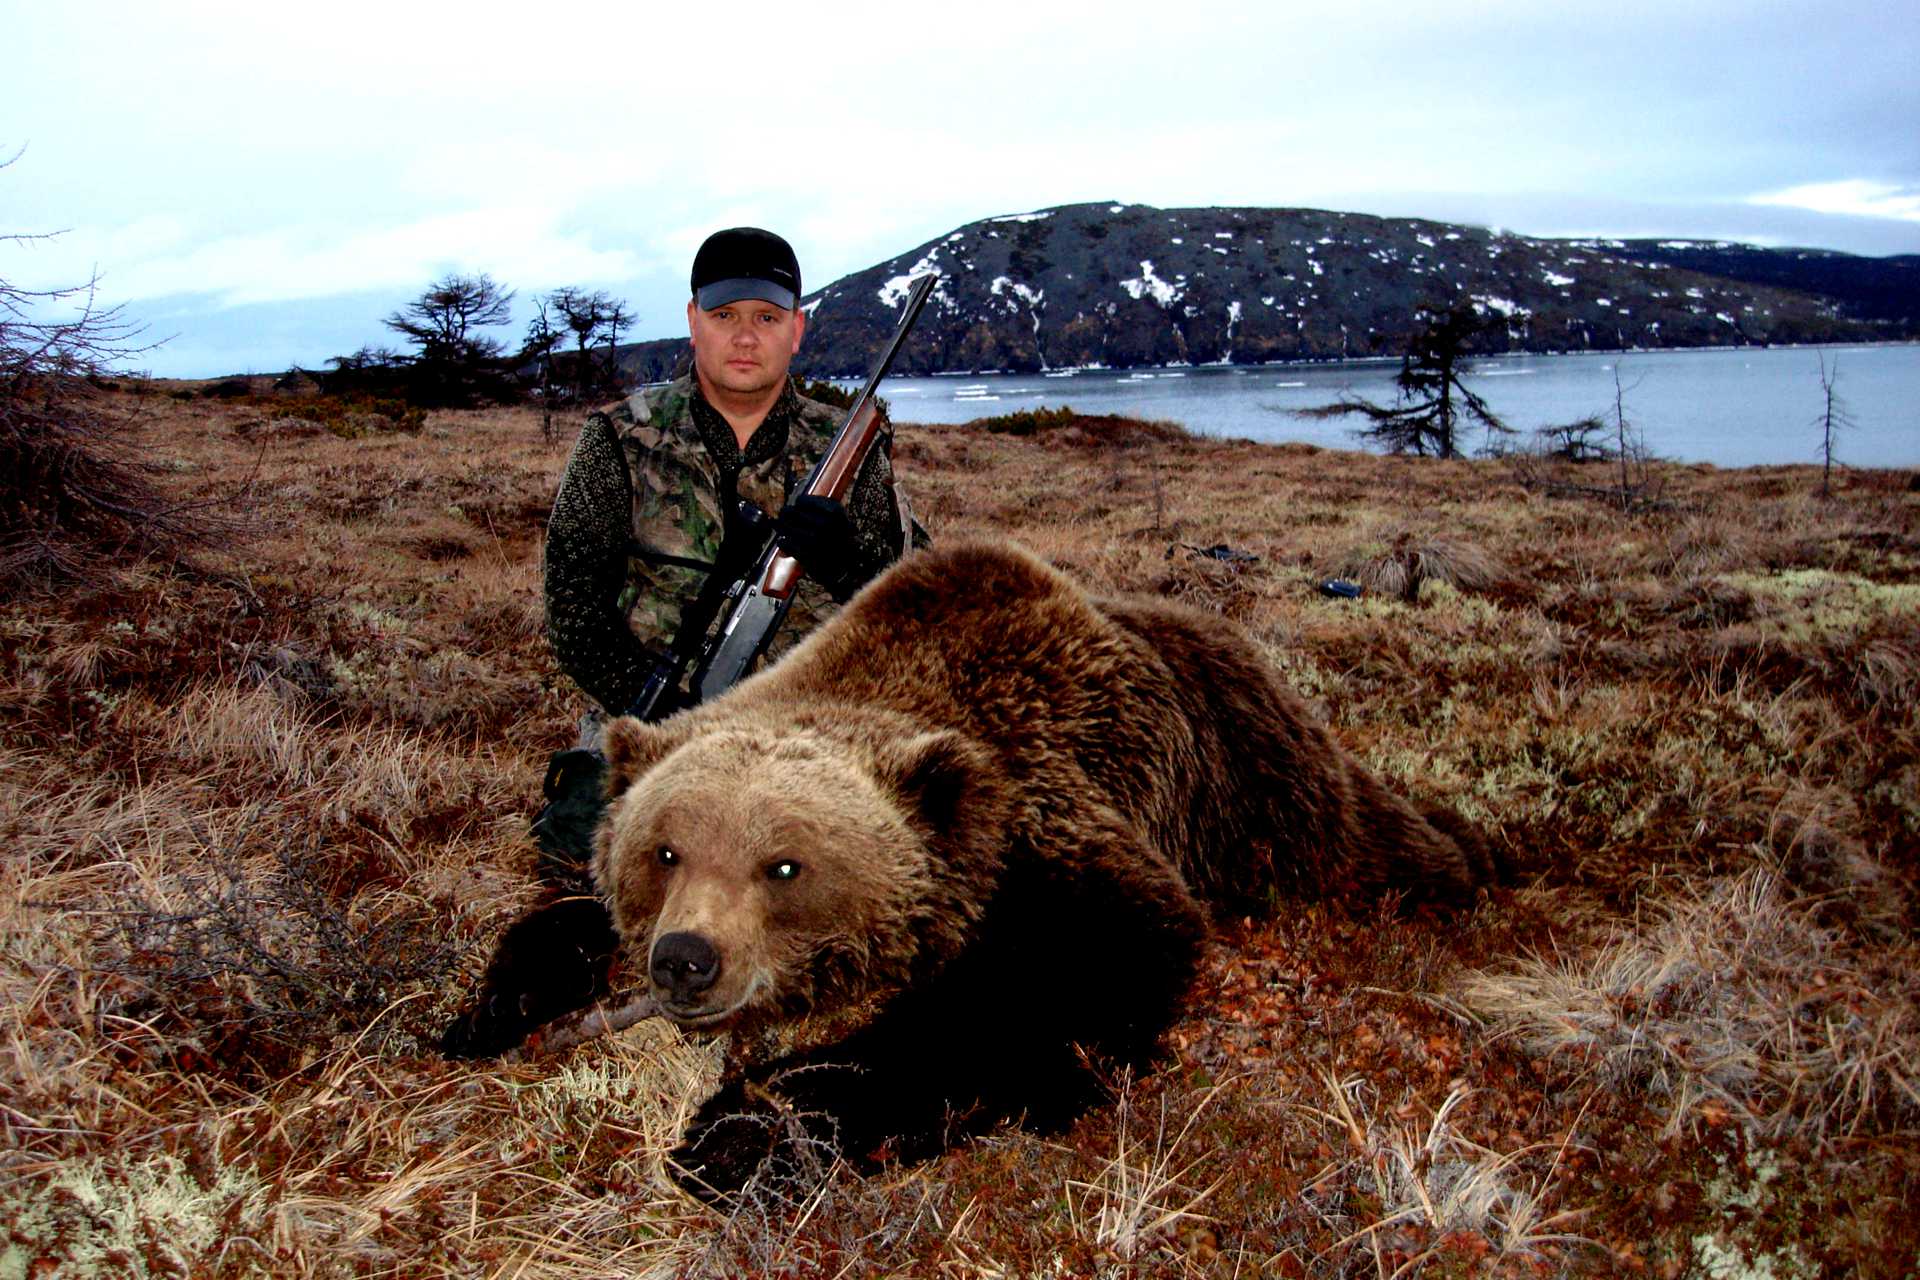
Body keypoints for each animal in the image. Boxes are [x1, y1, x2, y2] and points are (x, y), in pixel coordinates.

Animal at [591, 541, 1489, 1205]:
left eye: (782, 864)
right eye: (665, 851)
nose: (685, 959)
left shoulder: (1048, 818)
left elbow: (1053, 989)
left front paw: (740, 1133)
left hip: (1257, 783)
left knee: (1372, 845)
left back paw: (1476, 855)